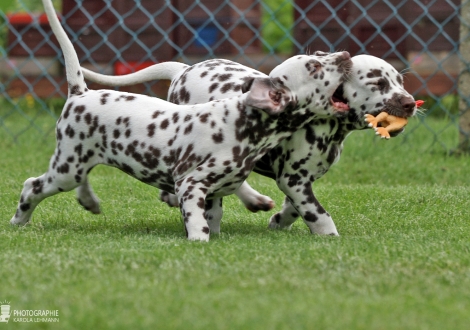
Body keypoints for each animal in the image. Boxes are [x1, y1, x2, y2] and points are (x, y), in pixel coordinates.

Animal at [10, 0, 352, 242]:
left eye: (321, 53)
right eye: (313, 67)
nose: (346, 55)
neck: (244, 125)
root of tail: (81, 93)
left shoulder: (216, 193)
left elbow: (216, 218)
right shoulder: (191, 184)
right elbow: (199, 225)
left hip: (79, 161)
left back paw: (89, 202)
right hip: (67, 168)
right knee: (31, 186)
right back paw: (19, 221)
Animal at [82, 52, 416, 237]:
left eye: (400, 81)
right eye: (378, 83)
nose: (410, 103)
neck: (330, 129)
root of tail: (182, 70)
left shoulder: (299, 181)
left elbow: (296, 208)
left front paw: (279, 221)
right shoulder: (293, 178)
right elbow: (317, 212)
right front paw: (328, 235)